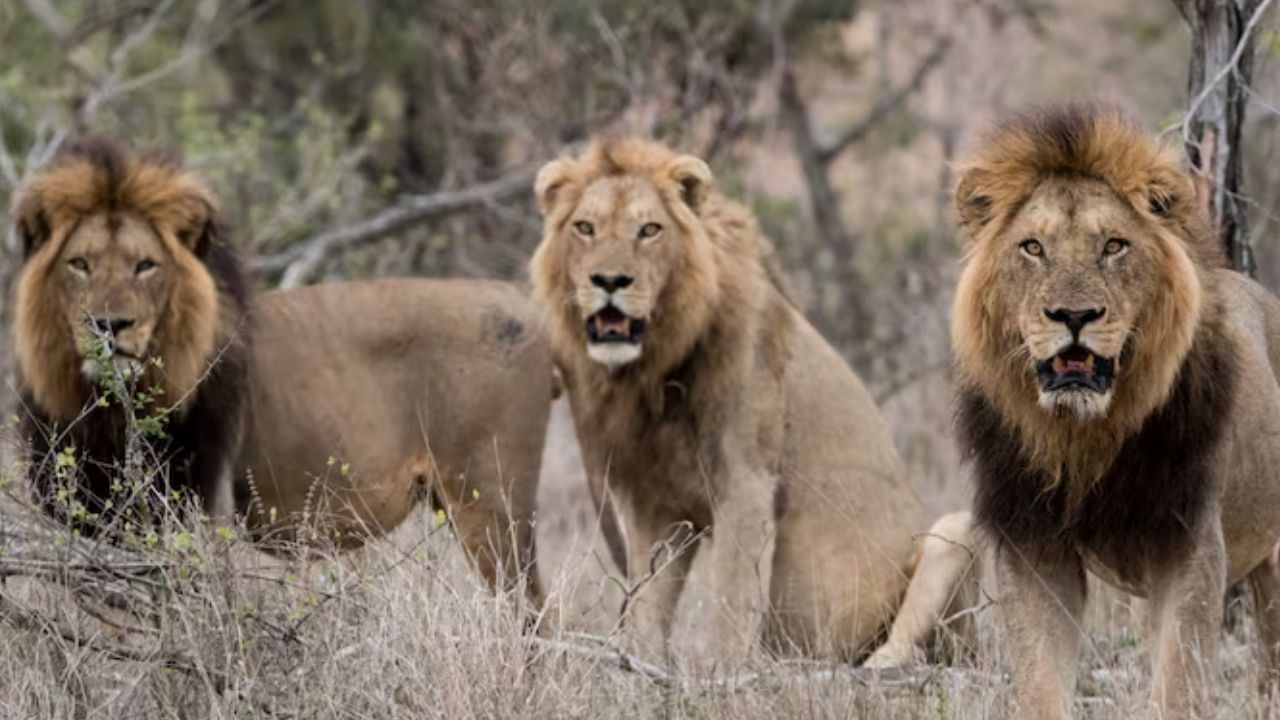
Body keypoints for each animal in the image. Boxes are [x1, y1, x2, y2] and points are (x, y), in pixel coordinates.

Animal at [10, 141, 554, 604]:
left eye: (145, 265)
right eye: (79, 263)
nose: (109, 324)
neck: (103, 406)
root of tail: (525, 305)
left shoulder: (202, 505)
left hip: (492, 504)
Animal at [530, 138, 975, 662]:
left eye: (649, 230)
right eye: (585, 228)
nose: (610, 281)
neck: (656, 365)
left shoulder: (745, 486)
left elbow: (729, 604)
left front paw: (719, 674)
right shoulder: (656, 504)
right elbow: (647, 605)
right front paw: (642, 665)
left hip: (954, 534)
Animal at [952, 104, 1280, 717]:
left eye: (1113, 246)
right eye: (1033, 247)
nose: (1073, 315)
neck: (1085, 435)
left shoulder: (1188, 545)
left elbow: (1178, 687)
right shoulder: (1033, 547)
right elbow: (1040, 683)